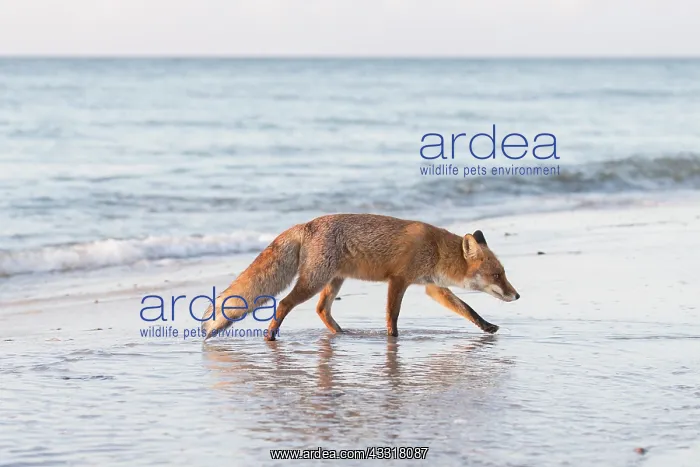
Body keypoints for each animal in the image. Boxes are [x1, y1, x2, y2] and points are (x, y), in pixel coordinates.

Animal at [201, 213, 519, 341]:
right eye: (497, 274)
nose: (517, 295)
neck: (436, 251)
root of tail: (306, 224)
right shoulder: (399, 279)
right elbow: (392, 315)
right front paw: (392, 338)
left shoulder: (432, 287)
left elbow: (467, 309)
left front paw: (487, 326)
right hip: (315, 280)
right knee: (284, 304)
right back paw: (270, 335)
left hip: (334, 280)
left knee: (321, 309)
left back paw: (341, 334)